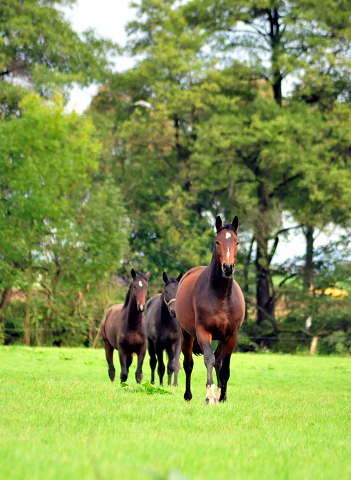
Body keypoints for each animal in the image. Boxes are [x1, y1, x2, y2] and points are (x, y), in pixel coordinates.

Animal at [175, 216, 245, 404]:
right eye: (217, 242)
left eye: (236, 242)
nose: (228, 267)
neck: (221, 297)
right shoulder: (203, 332)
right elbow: (208, 359)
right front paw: (211, 395)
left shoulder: (231, 336)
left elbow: (224, 367)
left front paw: (223, 396)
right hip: (186, 335)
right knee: (188, 364)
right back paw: (188, 395)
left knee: (219, 361)